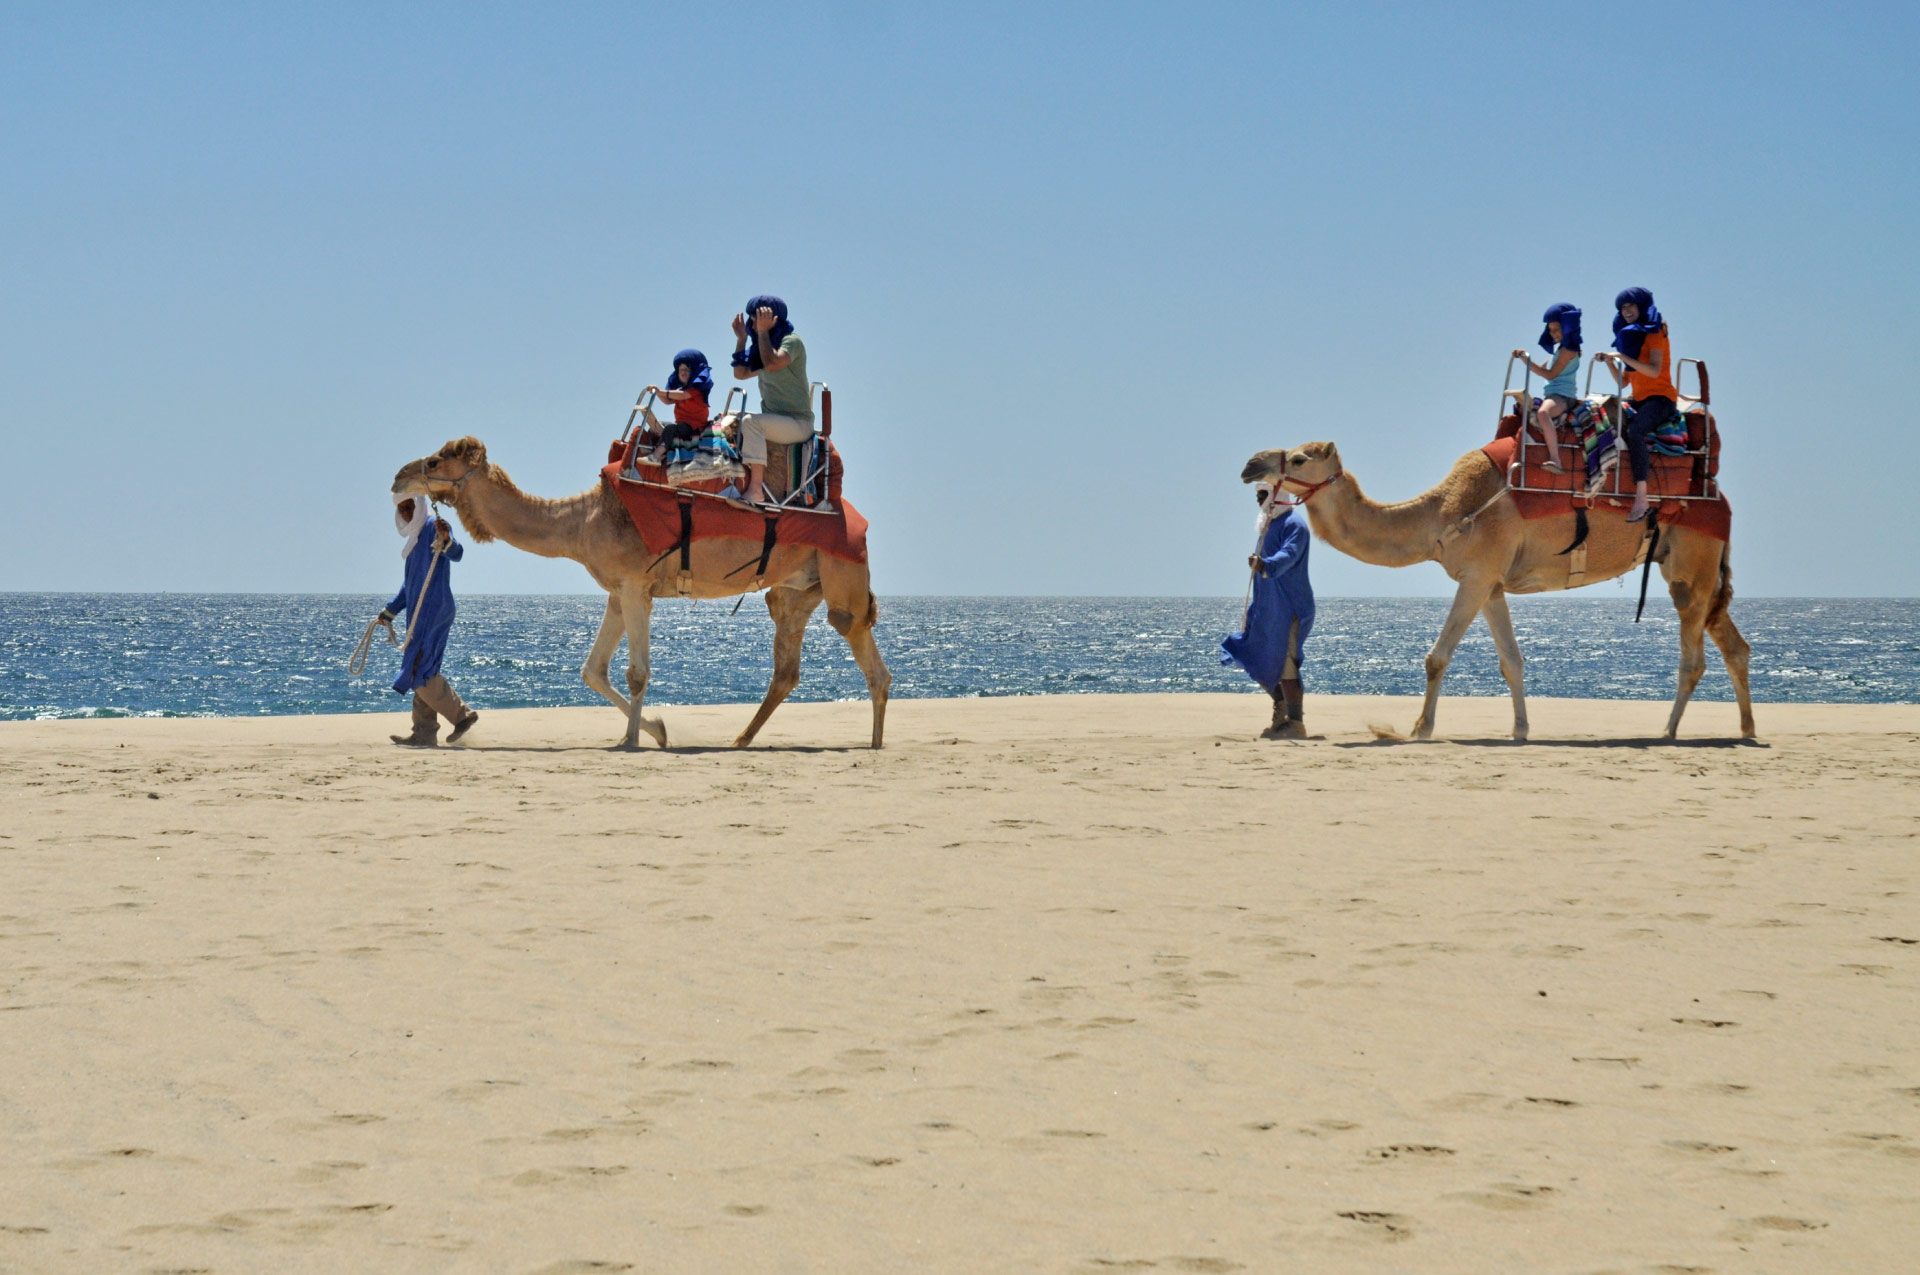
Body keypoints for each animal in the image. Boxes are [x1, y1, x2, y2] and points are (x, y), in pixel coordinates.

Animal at [391, 441, 898, 748]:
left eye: (435, 462)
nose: (398, 477)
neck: (581, 523)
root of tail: (857, 520)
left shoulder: (636, 587)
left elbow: (636, 672)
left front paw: (633, 739)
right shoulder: (618, 592)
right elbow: (592, 670)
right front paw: (656, 729)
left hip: (841, 570)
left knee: (863, 649)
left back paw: (874, 744)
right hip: (797, 588)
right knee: (787, 662)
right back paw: (740, 740)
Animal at [1244, 441, 1758, 741]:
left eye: (1299, 458)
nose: (1250, 464)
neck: (1440, 515)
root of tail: (1724, 502)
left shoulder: (1475, 575)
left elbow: (1437, 657)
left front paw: (1420, 729)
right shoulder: (1490, 584)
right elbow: (1511, 661)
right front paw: (1520, 730)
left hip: (1690, 563)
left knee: (1694, 657)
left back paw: (1668, 730)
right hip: (1694, 568)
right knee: (1734, 645)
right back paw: (1747, 728)